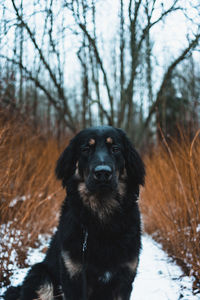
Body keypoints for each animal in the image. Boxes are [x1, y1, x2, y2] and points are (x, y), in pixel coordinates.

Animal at [4, 126, 145, 300]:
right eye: (86, 149)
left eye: (115, 149)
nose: (103, 173)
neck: (101, 217)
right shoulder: (73, 276)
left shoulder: (124, 279)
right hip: (40, 275)